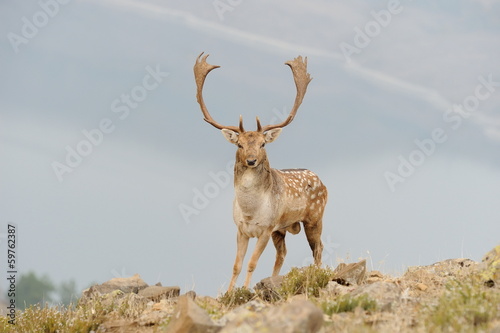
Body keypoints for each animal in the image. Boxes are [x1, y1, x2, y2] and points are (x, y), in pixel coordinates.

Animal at [192, 52, 328, 290]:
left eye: (263, 144)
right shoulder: (241, 229)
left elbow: (251, 264)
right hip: (281, 230)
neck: (250, 211)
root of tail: (322, 182)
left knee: (318, 249)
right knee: (282, 253)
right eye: (239, 145)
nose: (251, 160)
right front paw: (229, 292)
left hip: (314, 217)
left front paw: (245, 290)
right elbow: (236, 265)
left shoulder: (266, 228)